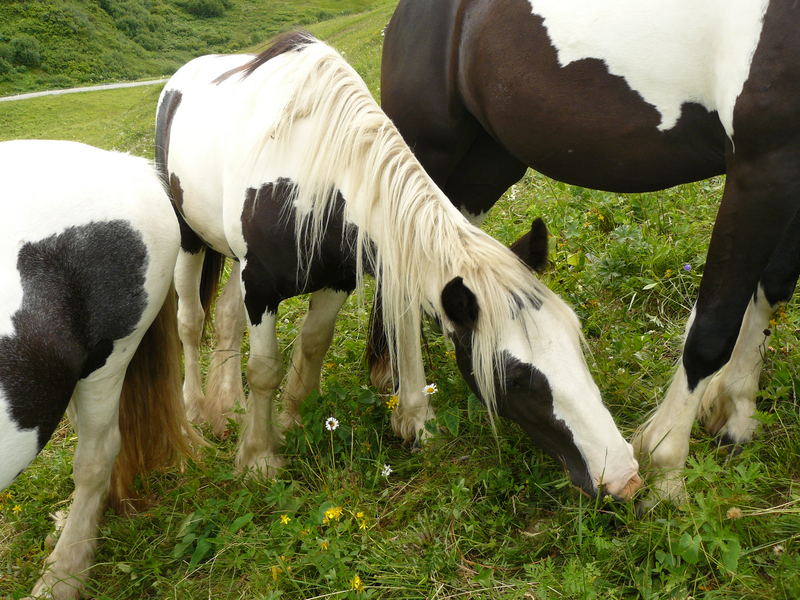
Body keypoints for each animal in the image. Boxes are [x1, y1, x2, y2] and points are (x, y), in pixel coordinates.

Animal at [155, 31, 644, 502]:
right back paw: (196, 410)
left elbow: (314, 343)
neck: (309, 178)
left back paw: (228, 408)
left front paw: (297, 416)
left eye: (575, 341)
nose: (624, 478)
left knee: (225, 318)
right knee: (191, 322)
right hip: (190, 242)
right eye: (516, 375)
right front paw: (259, 458)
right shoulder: (261, 288)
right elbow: (263, 370)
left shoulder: (334, 278)